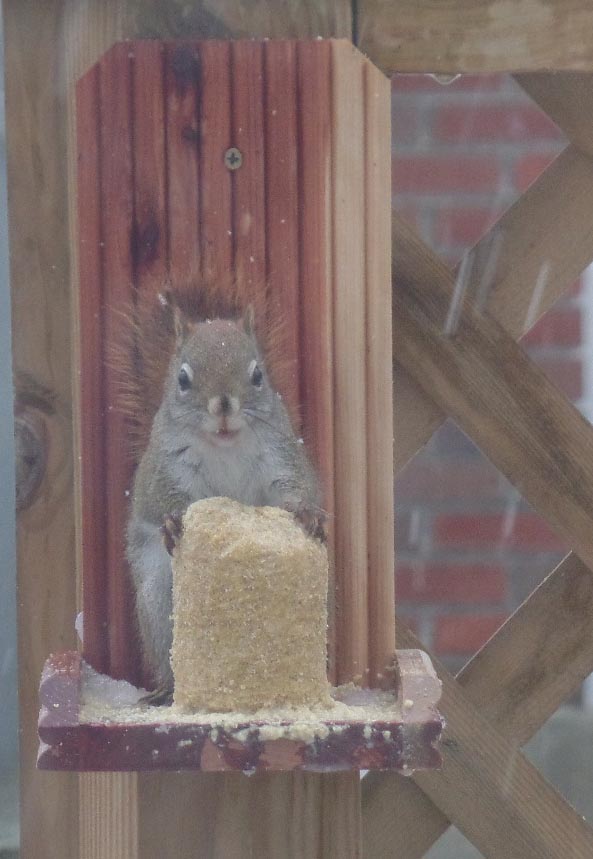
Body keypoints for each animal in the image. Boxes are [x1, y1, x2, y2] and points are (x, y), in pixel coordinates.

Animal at [122, 287, 325, 705]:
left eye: (258, 375)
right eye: (182, 379)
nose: (224, 406)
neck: (225, 445)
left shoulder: (281, 456)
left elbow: (294, 488)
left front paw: (307, 514)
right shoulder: (164, 468)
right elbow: (158, 502)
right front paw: (172, 521)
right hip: (157, 600)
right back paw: (166, 691)